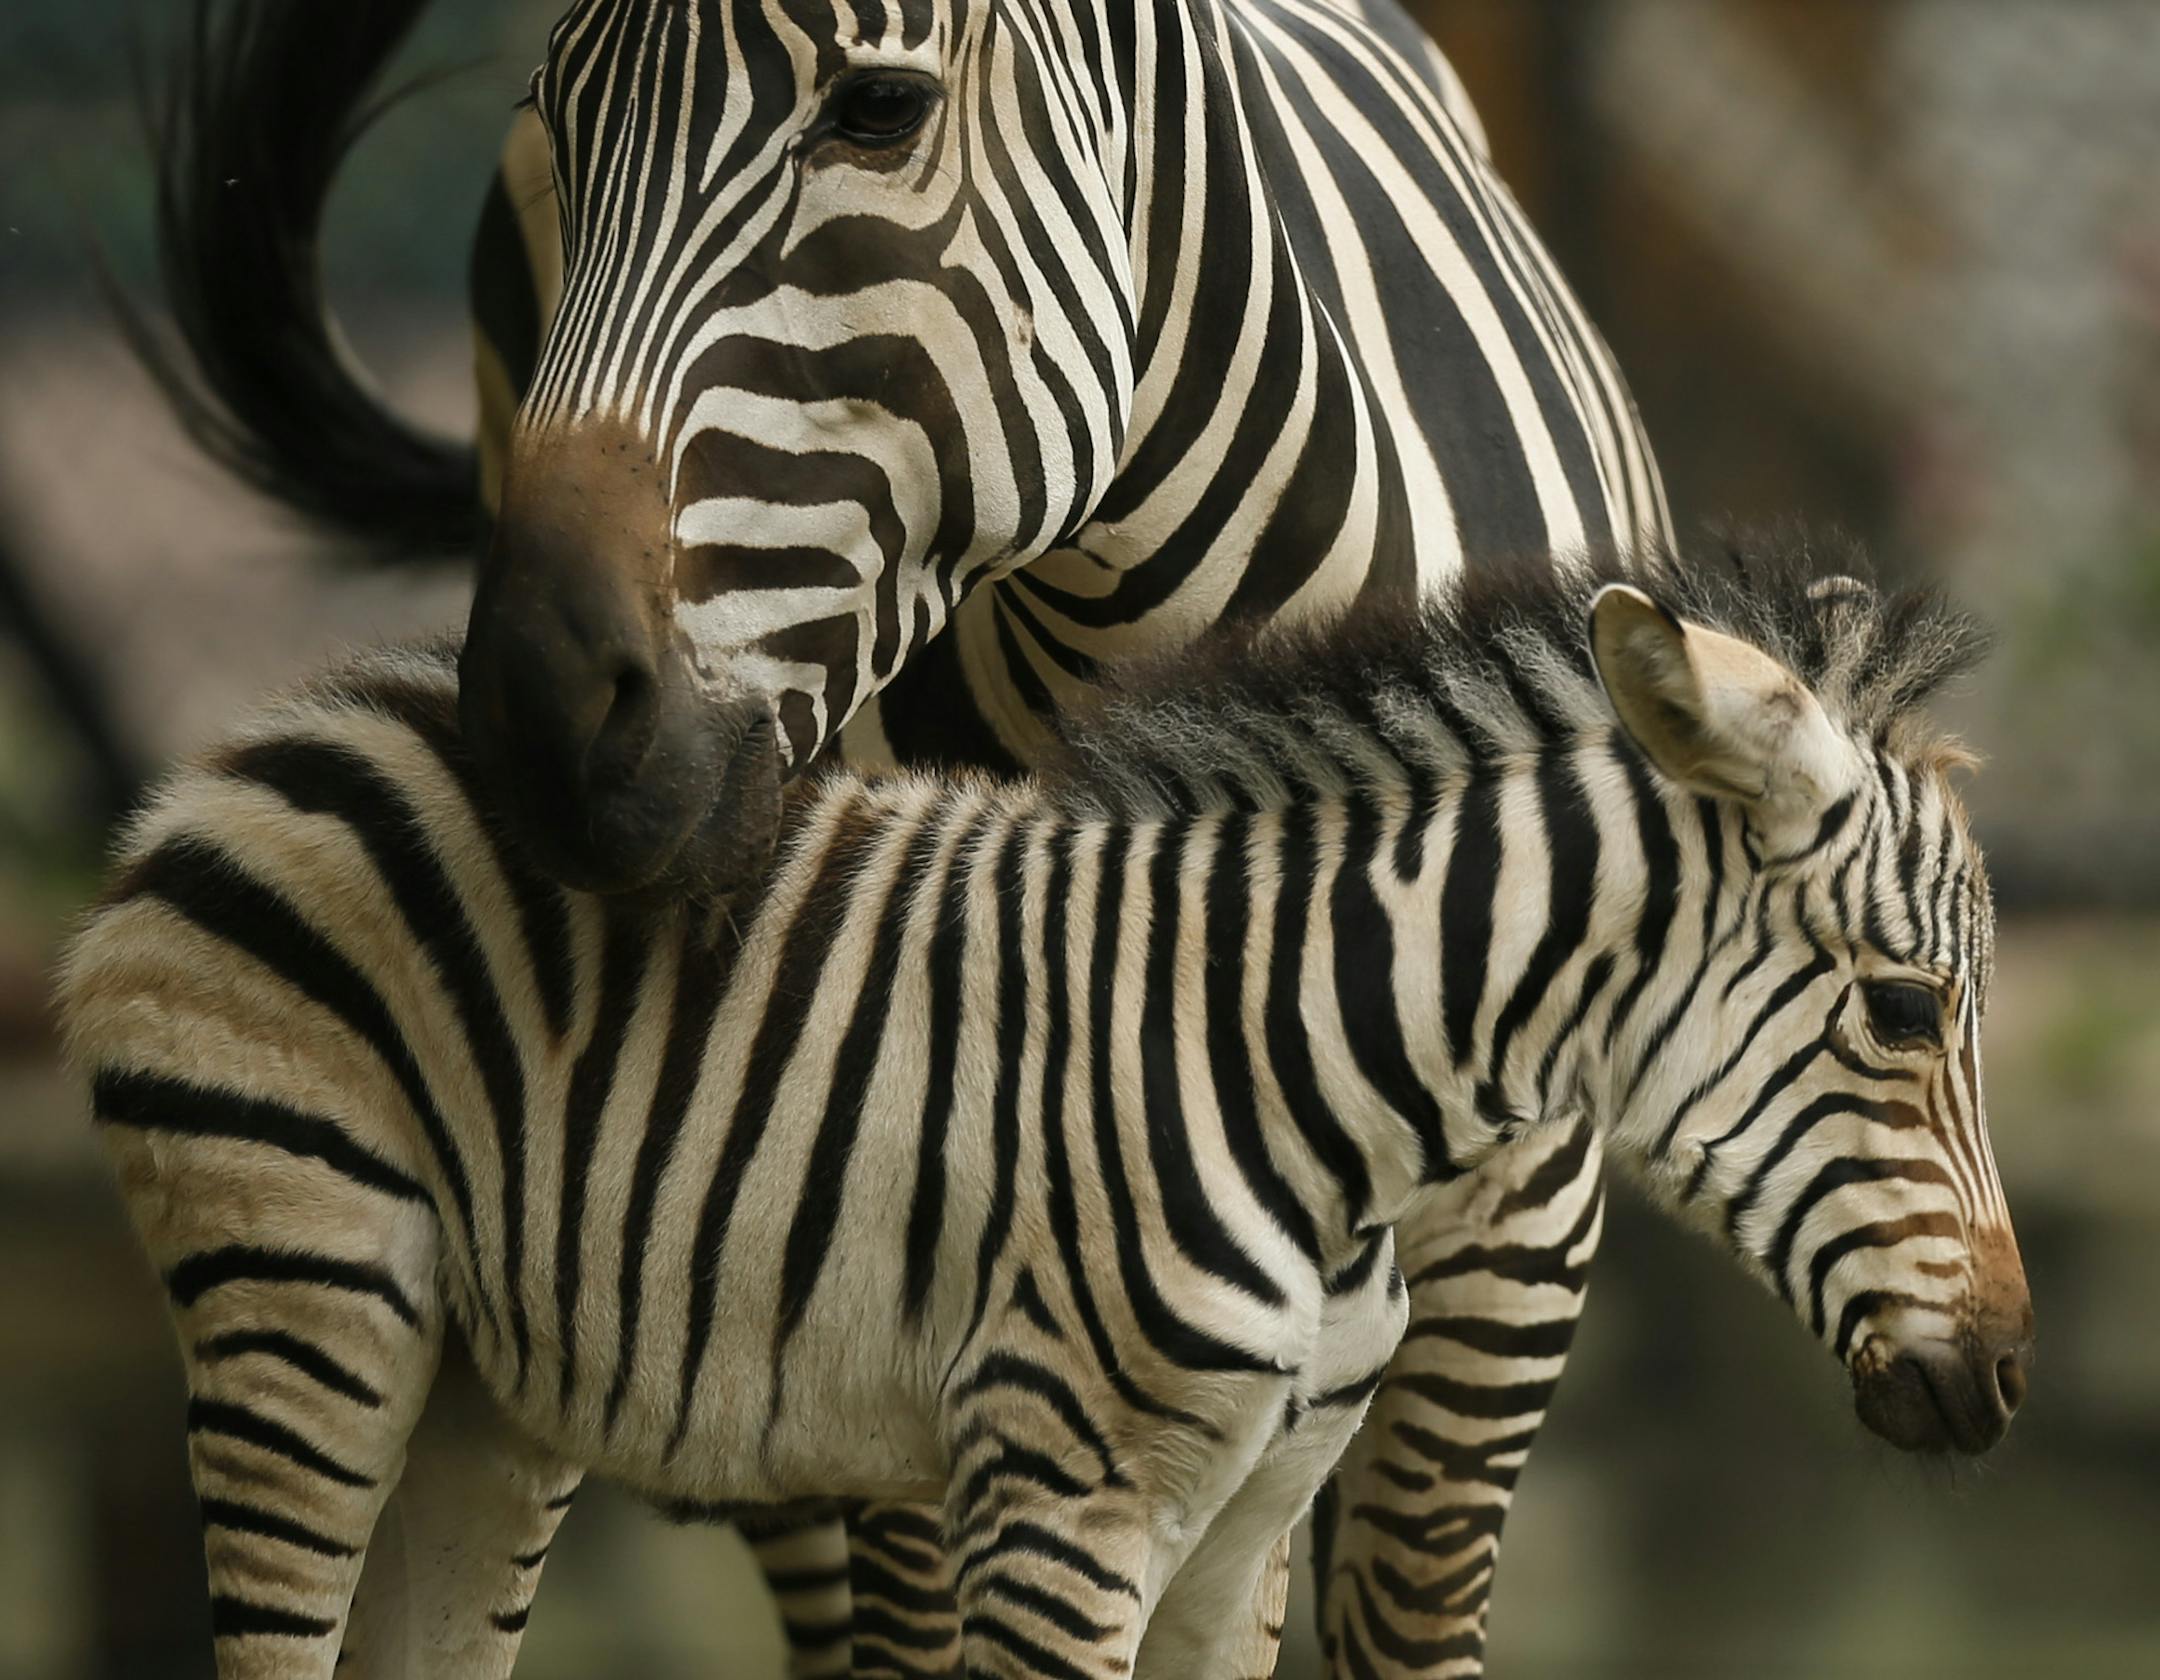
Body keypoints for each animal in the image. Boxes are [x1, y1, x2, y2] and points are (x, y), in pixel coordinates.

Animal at [59, 548, 2033, 1680]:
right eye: (1905, 1007)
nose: (2011, 1377)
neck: (1314, 1078)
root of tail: (263, 737)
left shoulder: (1246, 1535)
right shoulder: (1060, 1504)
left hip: (480, 1397)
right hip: (307, 1294)